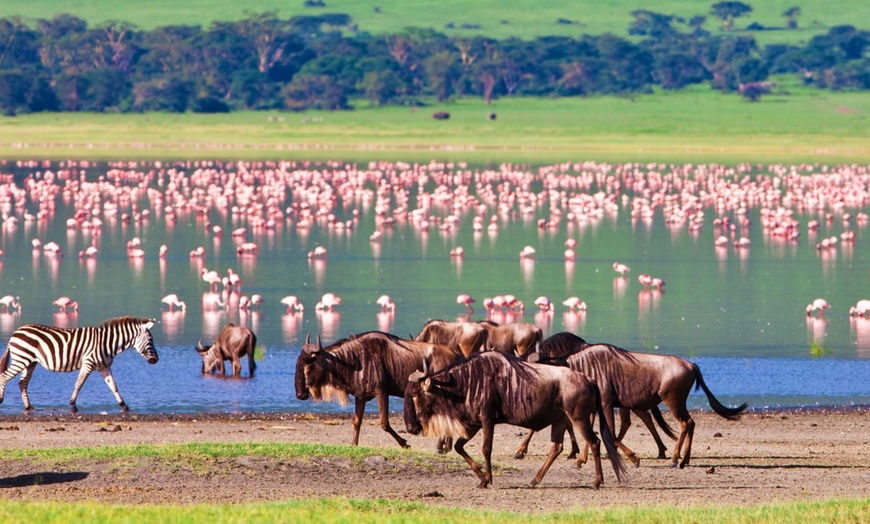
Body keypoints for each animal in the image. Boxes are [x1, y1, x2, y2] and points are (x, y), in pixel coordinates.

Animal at [0, 316, 158, 414]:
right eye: (150, 340)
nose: (156, 360)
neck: (107, 344)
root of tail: (16, 332)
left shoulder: (104, 367)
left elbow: (114, 386)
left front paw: (124, 406)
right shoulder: (88, 364)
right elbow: (79, 383)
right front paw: (73, 405)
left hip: (30, 362)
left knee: (22, 383)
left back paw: (29, 407)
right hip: (21, 359)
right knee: (4, 377)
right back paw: (1, 400)